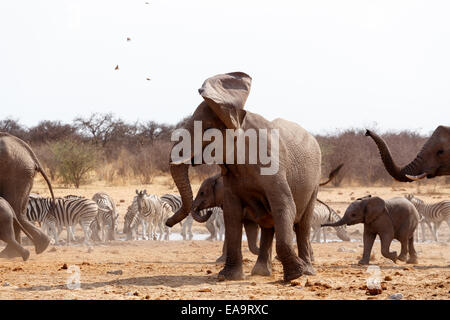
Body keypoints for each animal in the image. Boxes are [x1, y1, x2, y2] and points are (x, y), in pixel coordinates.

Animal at [164, 72, 320, 280]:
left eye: (207, 130)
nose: (167, 222)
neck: (238, 119)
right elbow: (232, 213)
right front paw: (228, 276)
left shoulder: (272, 165)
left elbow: (284, 205)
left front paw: (295, 276)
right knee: (269, 225)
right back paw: (261, 272)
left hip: (315, 183)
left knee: (302, 224)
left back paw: (307, 271)